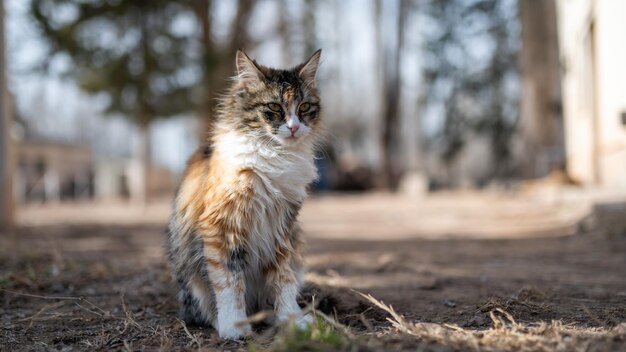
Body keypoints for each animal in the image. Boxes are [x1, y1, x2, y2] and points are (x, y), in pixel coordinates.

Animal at [166, 48, 322, 338]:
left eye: (305, 107)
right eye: (274, 107)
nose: (294, 127)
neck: (275, 157)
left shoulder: (281, 228)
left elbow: (283, 280)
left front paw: (292, 319)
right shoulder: (221, 227)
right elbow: (229, 284)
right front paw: (234, 327)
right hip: (191, 278)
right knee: (204, 310)